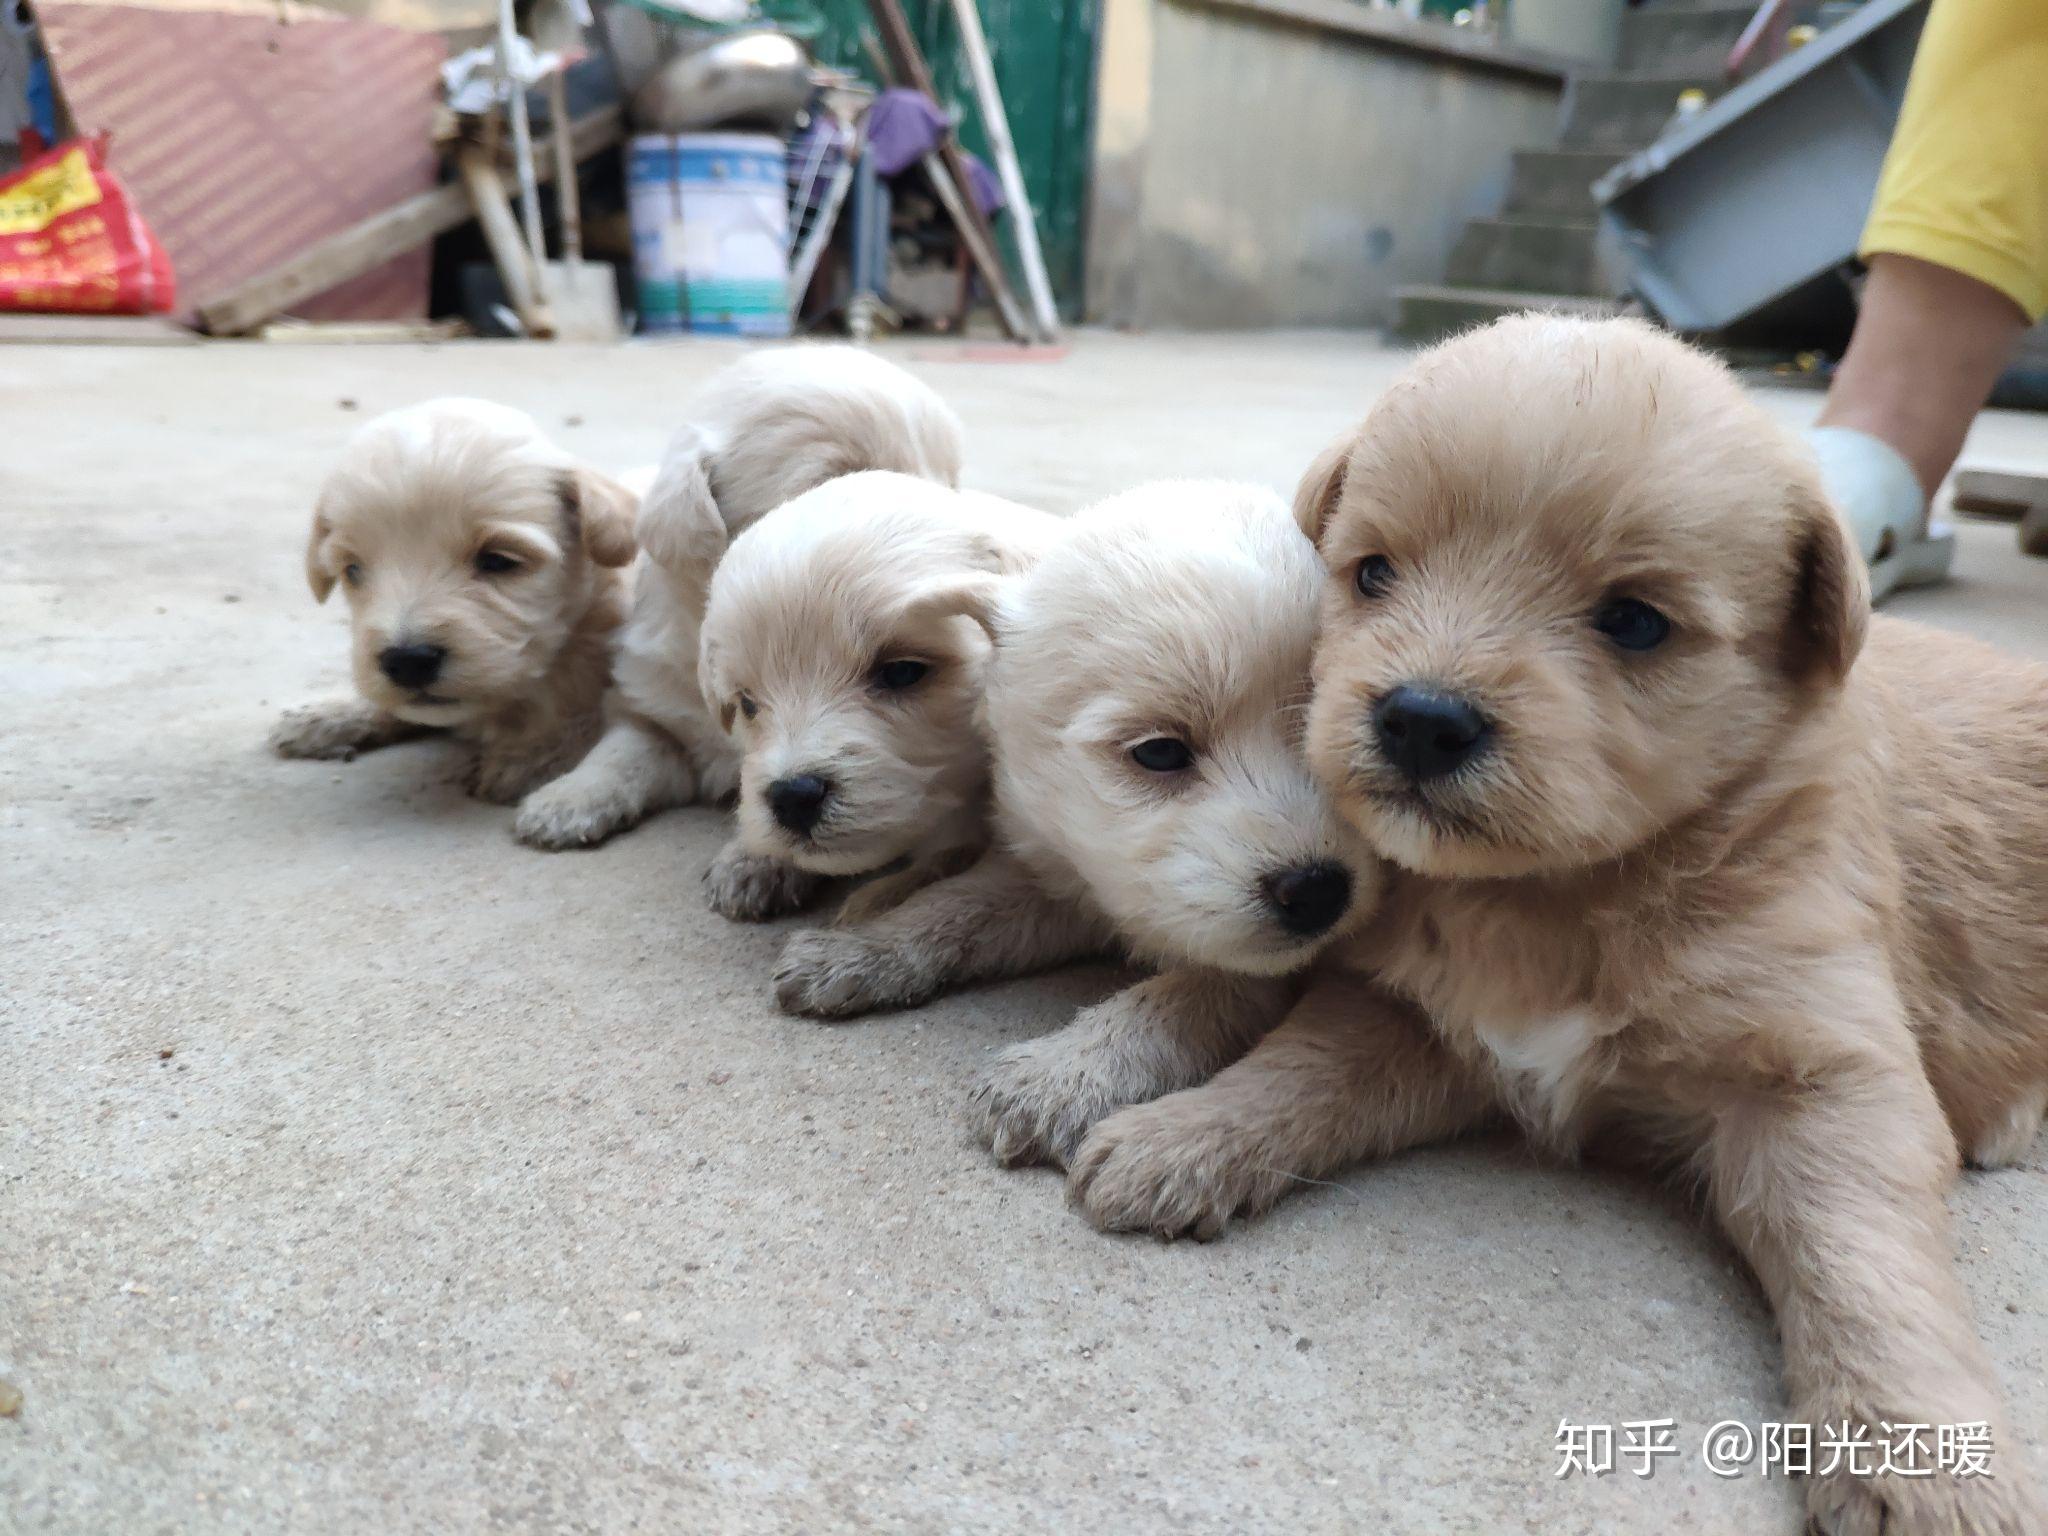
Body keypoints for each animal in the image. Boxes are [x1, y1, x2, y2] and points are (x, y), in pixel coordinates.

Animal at [274, 397, 638, 806]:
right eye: (353, 570)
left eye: (498, 560)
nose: (407, 662)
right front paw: (328, 714)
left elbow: (580, 714)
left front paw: (532, 756)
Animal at [507, 350, 962, 856]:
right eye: (839, 483)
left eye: (953, 480)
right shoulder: (655, 701)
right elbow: (621, 749)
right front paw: (565, 799)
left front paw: (750, 862)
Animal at [774, 481, 1384, 1163]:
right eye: (1159, 752)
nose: (1318, 891)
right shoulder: (1068, 873)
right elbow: (958, 907)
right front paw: (855, 952)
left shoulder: (1252, 959)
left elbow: (1180, 996)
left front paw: (1061, 1078)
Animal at [1073, 313, 2048, 1536]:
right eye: (1373, 571)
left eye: (1632, 621)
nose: (1420, 718)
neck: (1556, 900)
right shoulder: (1417, 1018)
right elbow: (1298, 1070)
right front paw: (1183, 1138)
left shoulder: (1823, 1071)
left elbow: (1863, 1261)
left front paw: (1917, 1460)